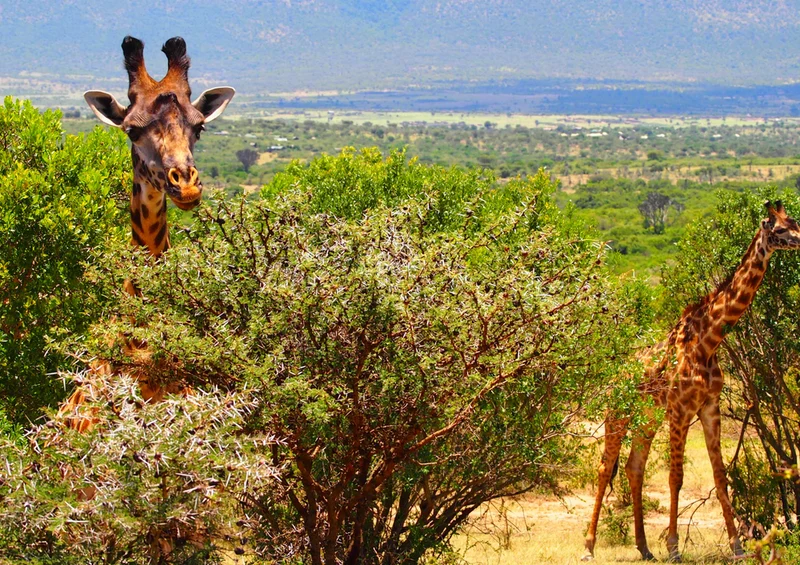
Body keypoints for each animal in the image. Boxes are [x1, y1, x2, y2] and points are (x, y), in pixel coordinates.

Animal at [583, 200, 800, 562]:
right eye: (780, 228)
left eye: (796, 222)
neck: (708, 340)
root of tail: (616, 374)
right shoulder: (681, 410)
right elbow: (676, 477)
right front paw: (673, 548)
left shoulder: (708, 407)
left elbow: (721, 476)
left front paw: (737, 547)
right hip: (618, 413)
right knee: (604, 468)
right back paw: (588, 547)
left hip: (648, 418)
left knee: (633, 467)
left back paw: (644, 548)